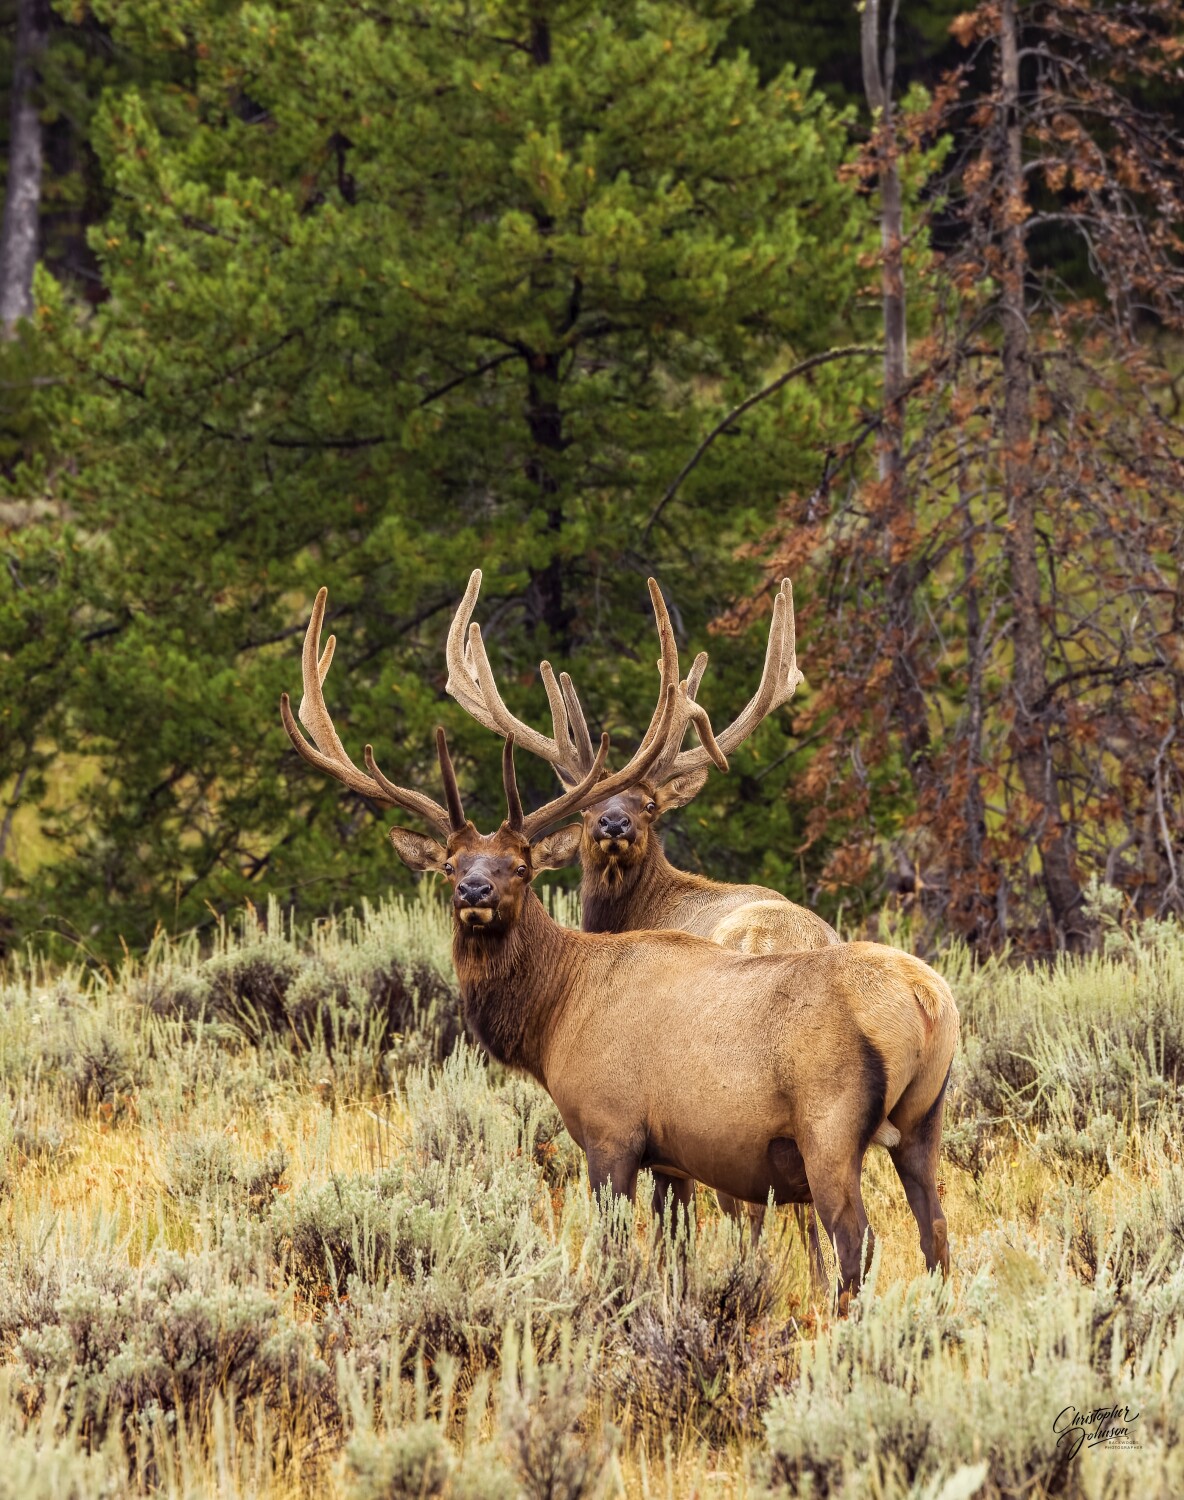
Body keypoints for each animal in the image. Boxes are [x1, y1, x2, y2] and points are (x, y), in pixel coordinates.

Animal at [280, 587, 959, 1306]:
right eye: (449, 864)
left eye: (521, 866)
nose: (473, 891)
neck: (555, 1015)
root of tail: (927, 1001)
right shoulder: (674, 1155)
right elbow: (674, 1252)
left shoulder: (610, 1128)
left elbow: (616, 1252)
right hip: (923, 1124)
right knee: (935, 1234)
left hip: (827, 1125)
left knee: (855, 1239)